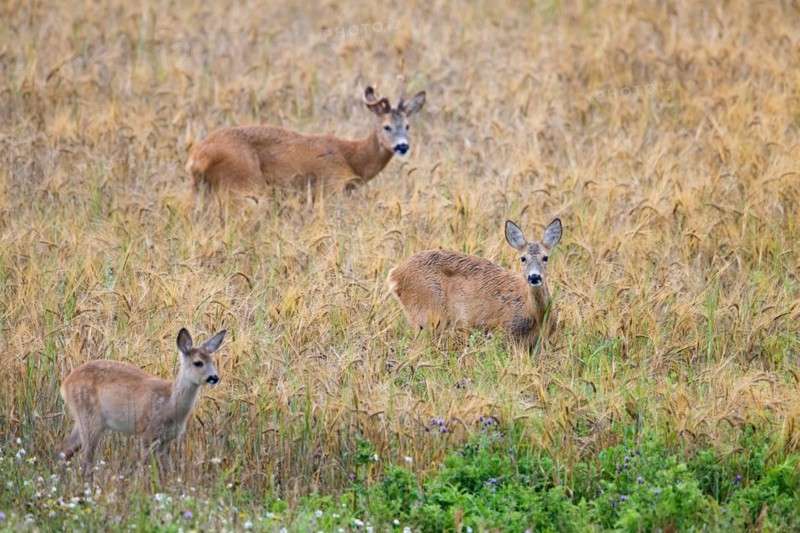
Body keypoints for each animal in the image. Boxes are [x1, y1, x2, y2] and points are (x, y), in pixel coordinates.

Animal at [58, 328, 226, 476]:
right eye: (198, 363)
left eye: (212, 361)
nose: (214, 377)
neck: (169, 404)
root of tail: (65, 384)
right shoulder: (148, 432)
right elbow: (146, 466)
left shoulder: (167, 439)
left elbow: (167, 469)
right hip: (90, 417)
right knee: (85, 457)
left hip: (82, 417)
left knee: (66, 450)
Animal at [185, 86, 426, 198]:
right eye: (386, 126)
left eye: (407, 126)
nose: (402, 146)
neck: (351, 158)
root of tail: (198, 156)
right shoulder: (330, 187)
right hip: (245, 184)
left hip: (200, 190)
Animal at [387, 219, 563, 351]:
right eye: (523, 258)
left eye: (546, 257)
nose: (534, 277)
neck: (536, 315)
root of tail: (395, 274)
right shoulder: (506, 332)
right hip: (428, 312)